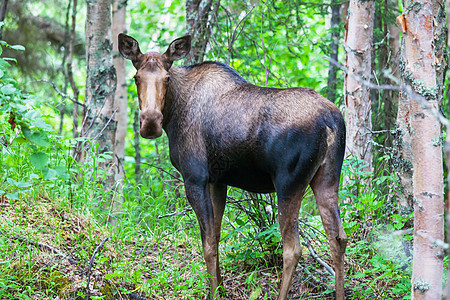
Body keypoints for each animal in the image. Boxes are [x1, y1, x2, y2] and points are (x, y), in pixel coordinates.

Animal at [118, 33, 346, 300]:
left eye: (167, 77)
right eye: (136, 77)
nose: (150, 122)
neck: (173, 112)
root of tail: (331, 122)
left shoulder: (194, 178)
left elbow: (207, 243)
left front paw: (214, 293)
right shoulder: (218, 181)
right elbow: (216, 236)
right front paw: (220, 288)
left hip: (289, 184)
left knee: (293, 248)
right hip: (327, 178)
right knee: (338, 237)